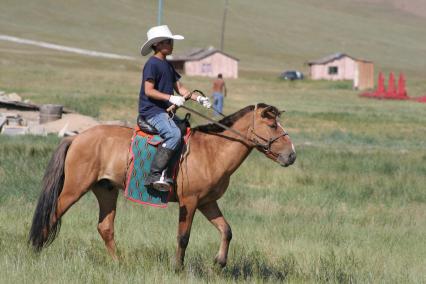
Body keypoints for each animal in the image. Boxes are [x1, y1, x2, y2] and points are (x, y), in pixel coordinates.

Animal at [29, 103, 296, 268]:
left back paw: (120, 263)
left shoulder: (207, 202)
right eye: (273, 125)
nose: (291, 155)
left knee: (105, 228)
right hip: (74, 189)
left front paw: (219, 261)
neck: (212, 150)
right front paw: (178, 267)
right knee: (52, 214)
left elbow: (226, 230)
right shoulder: (190, 202)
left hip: (105, 190)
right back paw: (35, 250)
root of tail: (76, 138)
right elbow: (183, 237)